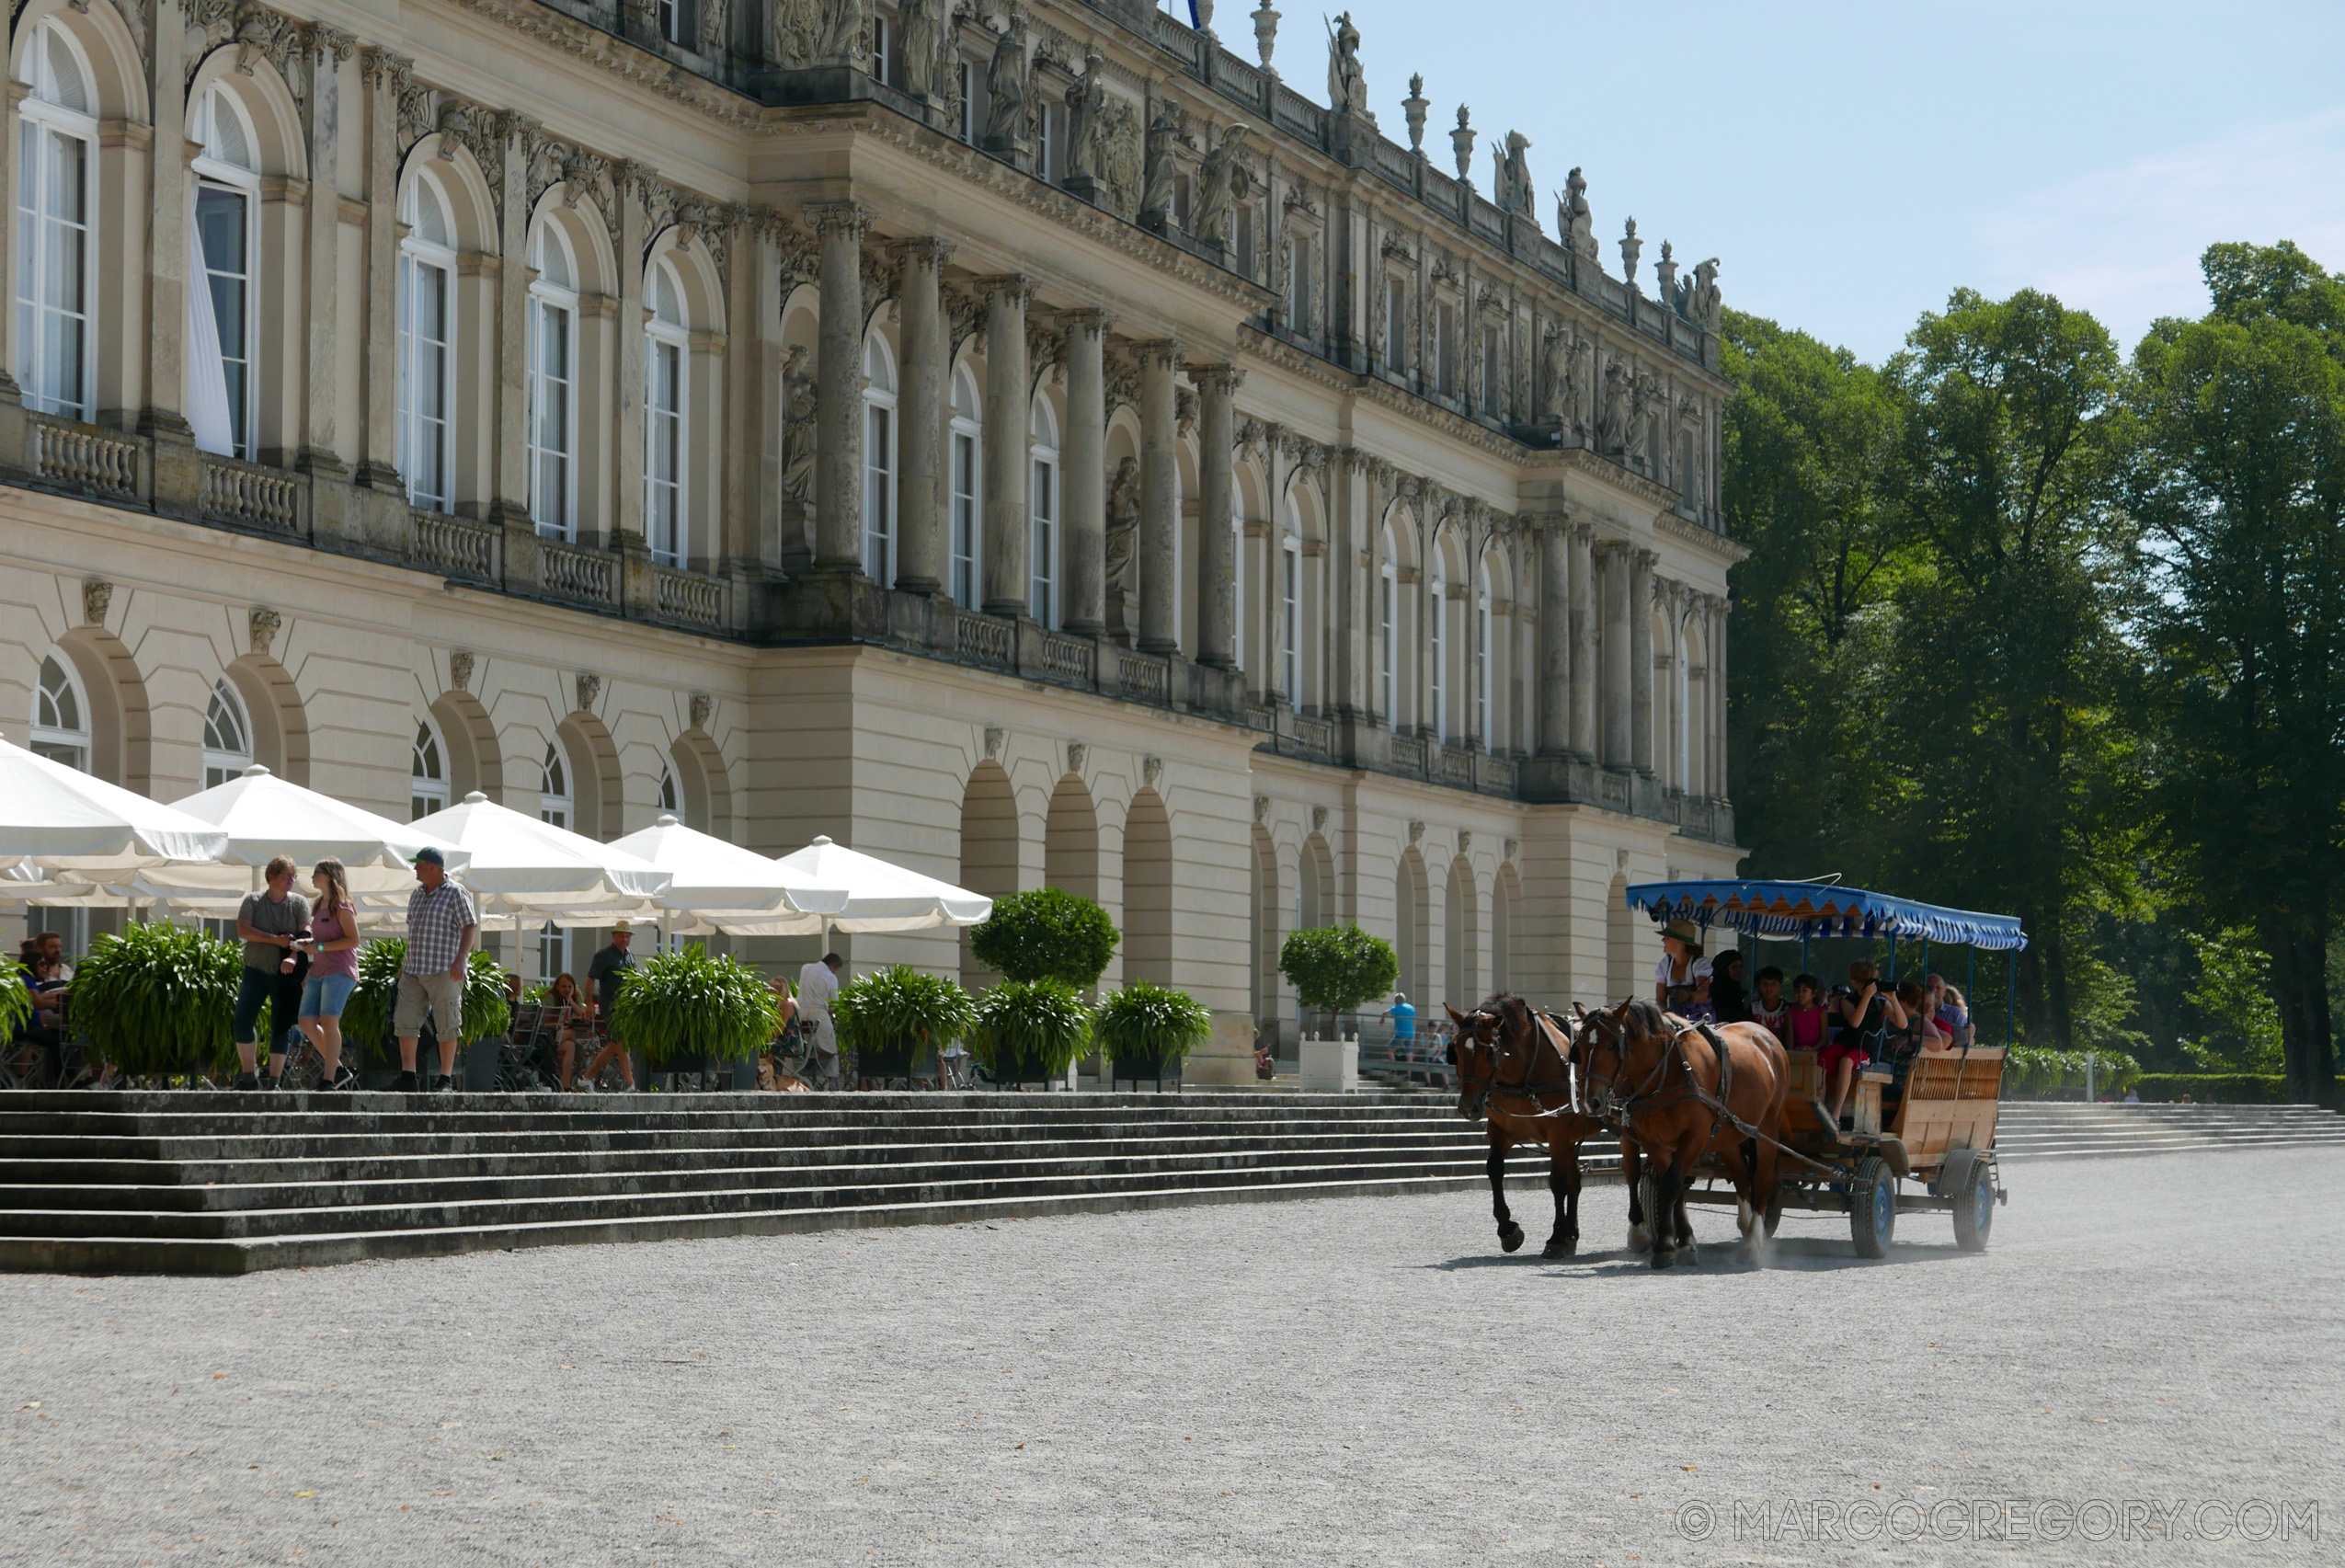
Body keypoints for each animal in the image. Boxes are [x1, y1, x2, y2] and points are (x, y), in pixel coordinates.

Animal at [1444, 989, 1651, 1256]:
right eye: (1456, 1049)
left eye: (1489, 1052)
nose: (1468, 1107)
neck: (1524, 1073)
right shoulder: (1501, 1129)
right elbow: (1495, 1169)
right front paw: (1508, 1229)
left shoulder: (1558, 1131)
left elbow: (1557, 1181)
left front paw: (1556, 1237)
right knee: (1576, 1180)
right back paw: (1572, 1232)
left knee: (1632, 1172)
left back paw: (1637, 1229)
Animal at [1575, 1002, 1791, 1275]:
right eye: (1580, 1046)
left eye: (1612, 1045)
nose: (1590, 1102)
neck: (1668, 1072)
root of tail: (1766, 1035)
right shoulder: (1654, 1141)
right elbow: (1674, 1186)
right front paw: (1683, 1242)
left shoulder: (1694, 1137)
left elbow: (1670, 1184)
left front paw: (1665, 1247)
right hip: (1726, 1131)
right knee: (1741, 1172)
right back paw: (1746, 1223)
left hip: (1766, 1129)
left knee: (1762, 1178)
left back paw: (1753, 1243)